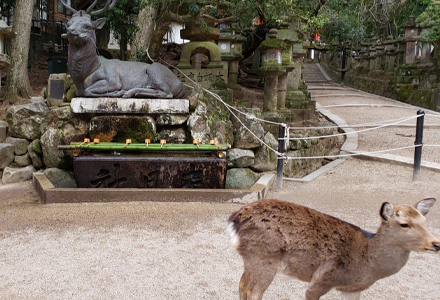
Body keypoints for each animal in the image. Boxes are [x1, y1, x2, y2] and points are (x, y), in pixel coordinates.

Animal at [229, 199, 438, 300]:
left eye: (425, 221)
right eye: (404, 224)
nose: (436, 243)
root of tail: (235, 219)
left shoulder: (352, 288)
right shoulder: (322, 278)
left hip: (251, 258)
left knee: (242, 285)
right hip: (265, 258)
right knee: (253, 292)